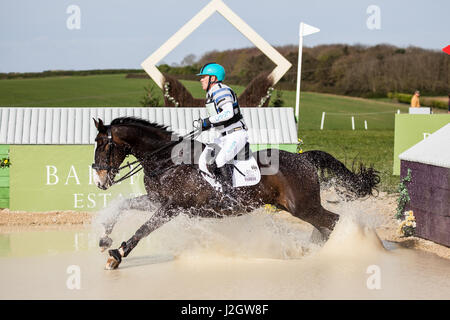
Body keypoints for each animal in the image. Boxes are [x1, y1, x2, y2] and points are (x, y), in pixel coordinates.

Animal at [92, 116, 380, 268]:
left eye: (103, 145)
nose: (100, 181)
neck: (166, 161)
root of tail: (304, 158)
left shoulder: (171, 208)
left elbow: (143, 229)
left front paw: (117, 255)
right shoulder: (156, 201)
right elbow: (122, 206)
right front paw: (105, 238)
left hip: (304, 206)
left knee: (334, 221)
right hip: (297, 207)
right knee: (325, 226)